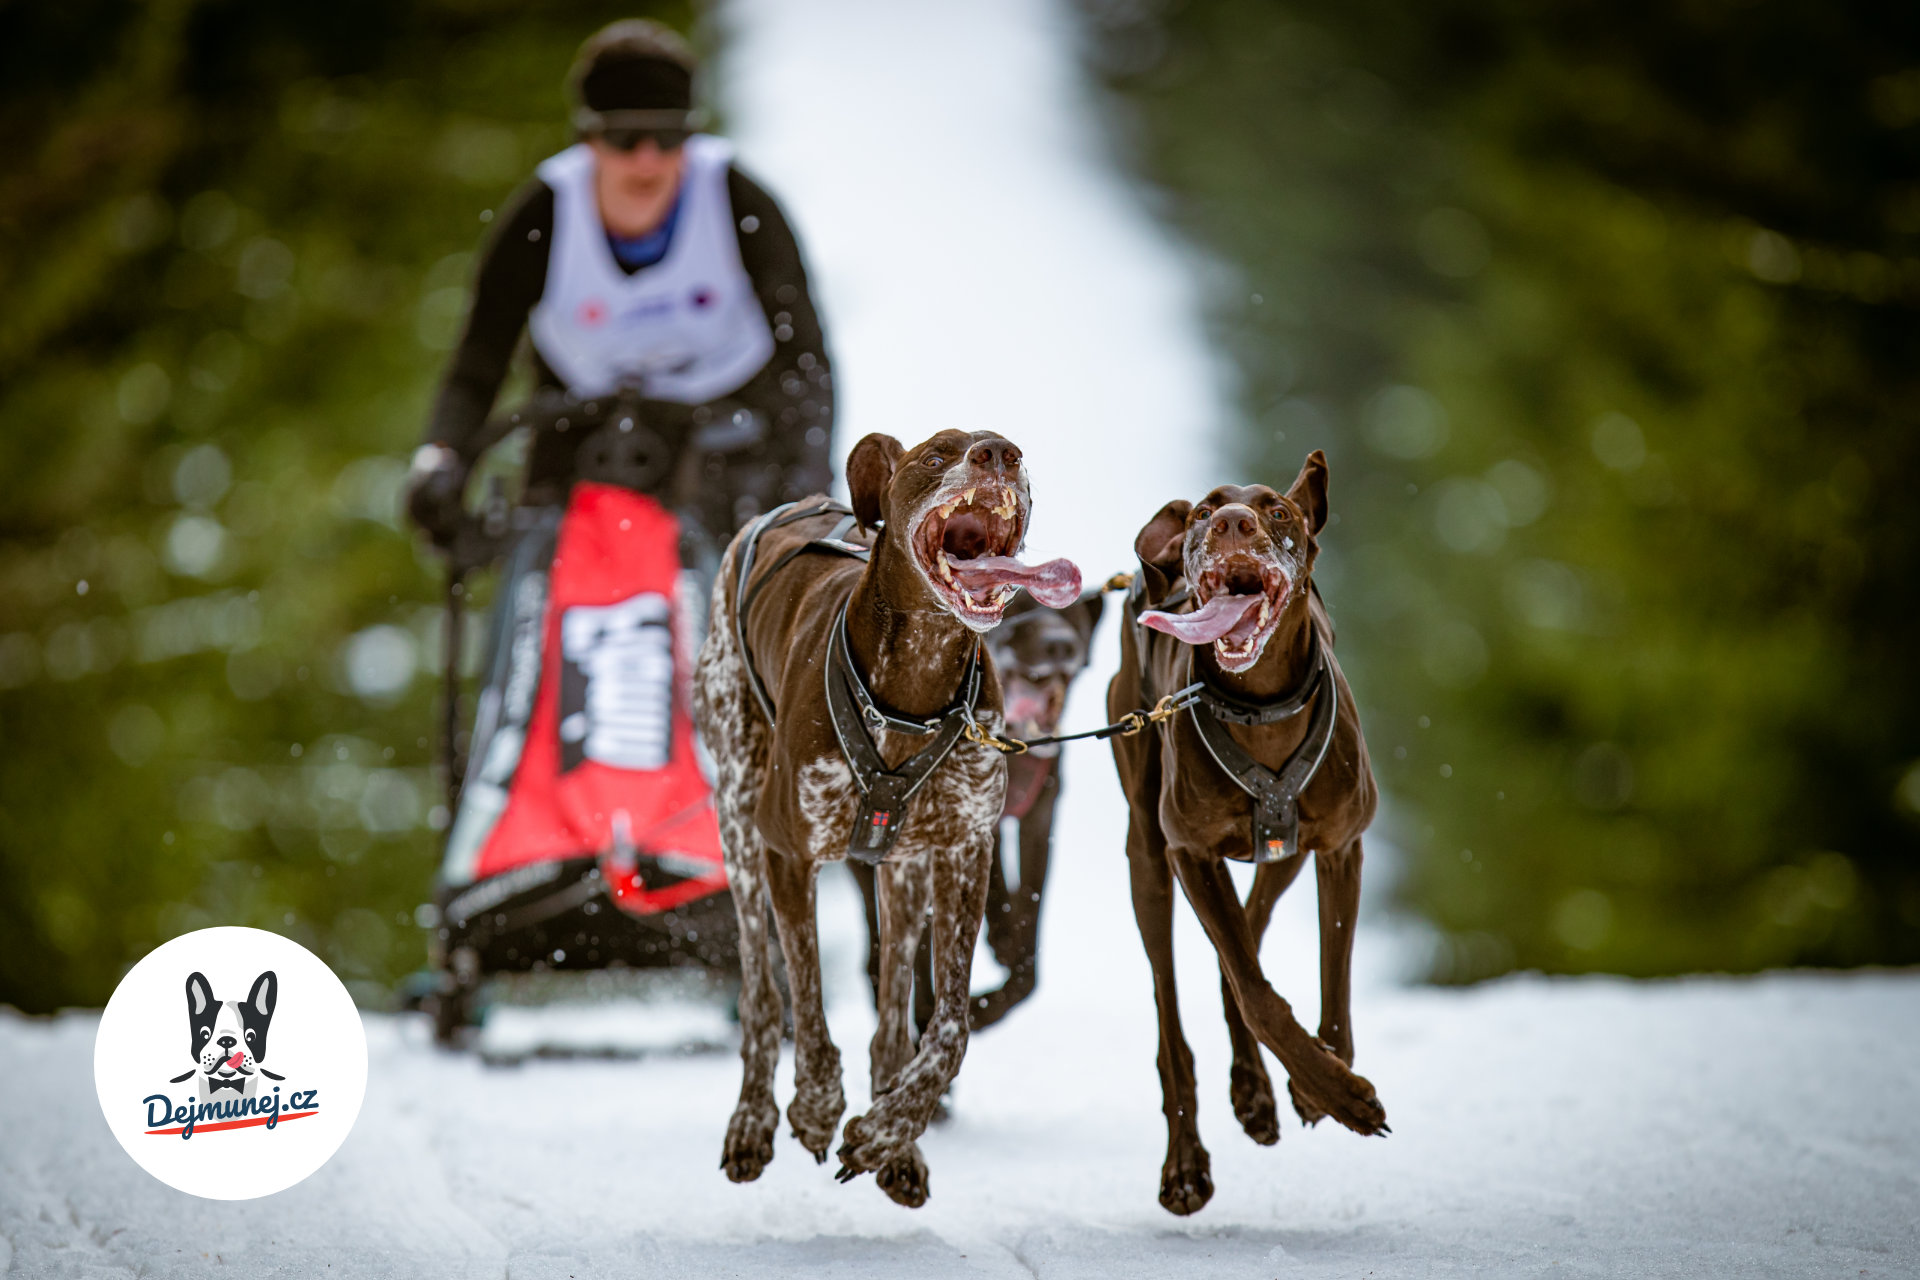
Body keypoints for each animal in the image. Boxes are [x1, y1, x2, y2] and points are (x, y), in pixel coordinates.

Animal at [695, 433, 1090, 1212]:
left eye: (1010, 450)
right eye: (938, 453)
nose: (1000, 453)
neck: (914, 691)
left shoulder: (965, 851)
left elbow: (948, 1027)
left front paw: (888, 1129)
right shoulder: (787, 851)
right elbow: (806, 998)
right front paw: (817, 1105)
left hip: (903, 876)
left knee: (890, 1013)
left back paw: (896, 1144)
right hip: (740, 828)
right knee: (760, 992)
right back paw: (753, 1122)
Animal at [1105, 452, 1390, 1220]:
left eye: (1278, 511)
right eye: (1205, 511)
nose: (1232, 522)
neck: (1260, 706)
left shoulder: (1339, 847)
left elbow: (1330, 985)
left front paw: (1318, 1079)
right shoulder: (1191, 853)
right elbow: (1259, 996)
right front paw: (1340, 1094)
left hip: (1278, 854)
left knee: (1245, 940)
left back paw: (1255, 1091)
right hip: (1148, 858)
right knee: (1176, 1008)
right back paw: (1186, 1164)